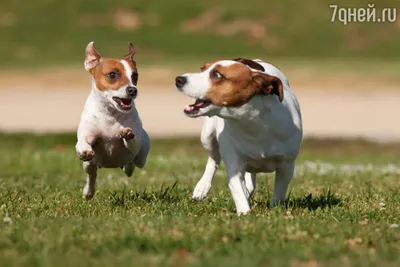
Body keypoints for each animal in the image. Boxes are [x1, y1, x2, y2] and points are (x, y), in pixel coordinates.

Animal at [75, 42, 150, 200]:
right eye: (112, 75)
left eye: (135, 76)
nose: (133, 90)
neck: (110, 114)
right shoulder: (88, 135)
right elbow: (83, 143)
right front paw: (84, 149)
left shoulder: (135, 144)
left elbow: (132, 141)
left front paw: (127, 134)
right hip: (89, 165)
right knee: (92, 175)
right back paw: (88, 192)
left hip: (142, 156)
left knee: (134, 163)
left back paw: (128, 166)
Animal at [175, 58, 304, 216]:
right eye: (202, 69)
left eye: (216, 75)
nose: (179, 79)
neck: (252, 123)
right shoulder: (234, 164)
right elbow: (237, 189)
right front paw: (244, 212)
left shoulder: (286, 165)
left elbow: (280, 190)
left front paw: (275, 208)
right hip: (207, 136)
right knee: (213, 160)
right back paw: (202, 187)